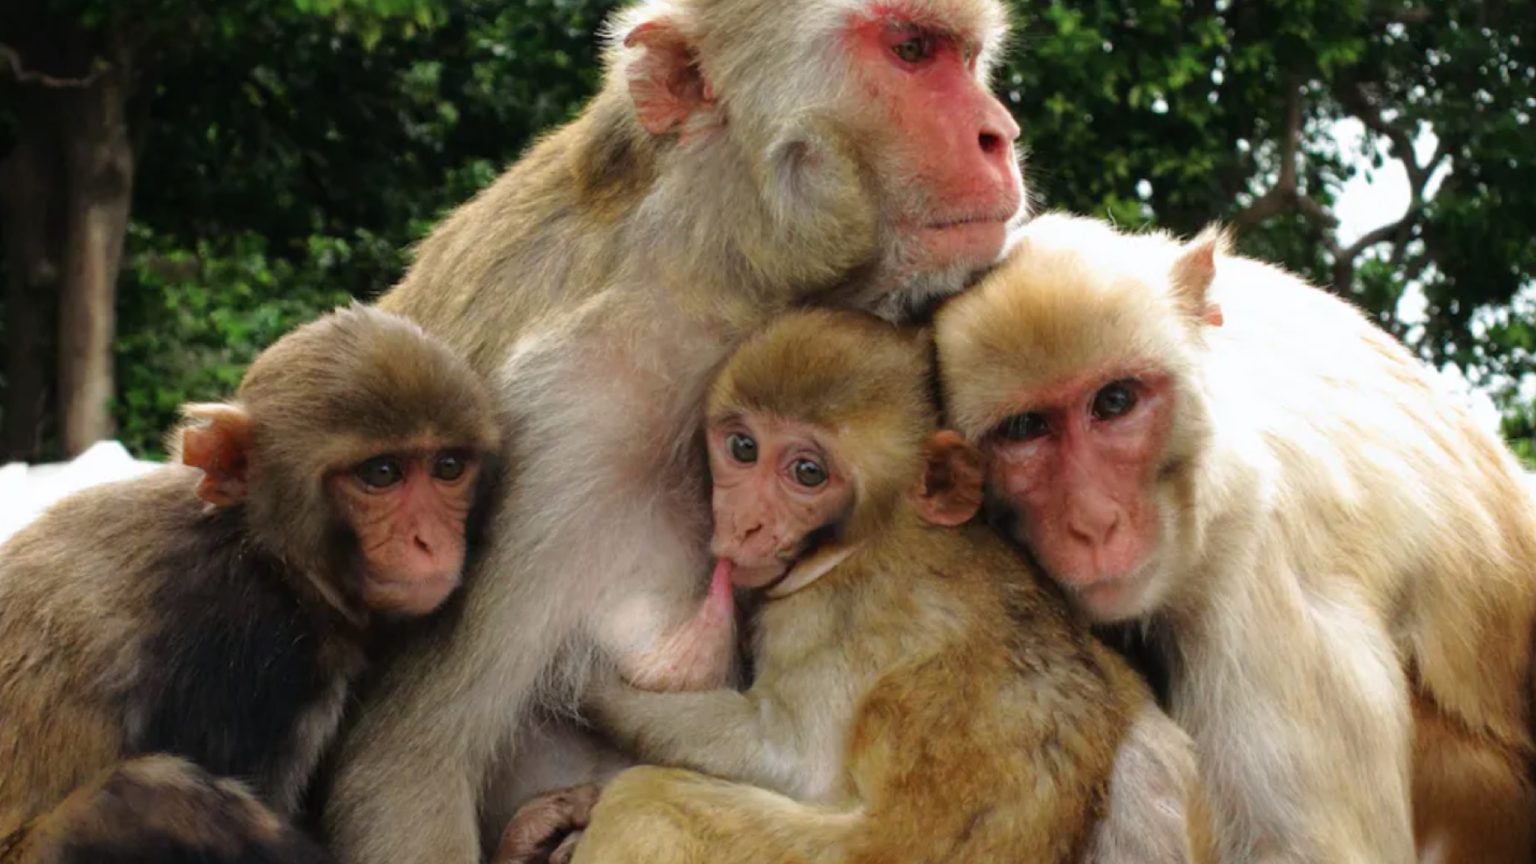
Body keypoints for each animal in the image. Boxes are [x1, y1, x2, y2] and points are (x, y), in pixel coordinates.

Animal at [0, 305, 502, 861]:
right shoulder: (249, 655)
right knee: (159, 798)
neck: (268, 557)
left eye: (448, 467)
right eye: (382, 473)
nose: (428, 541)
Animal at [553, 308, 1214, 864]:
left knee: (645, 801)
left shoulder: (824, 619)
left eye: (807, 473)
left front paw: (587, 688)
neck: (882, 532)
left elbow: (786, 757)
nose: (743, 524)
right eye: (742, 446)